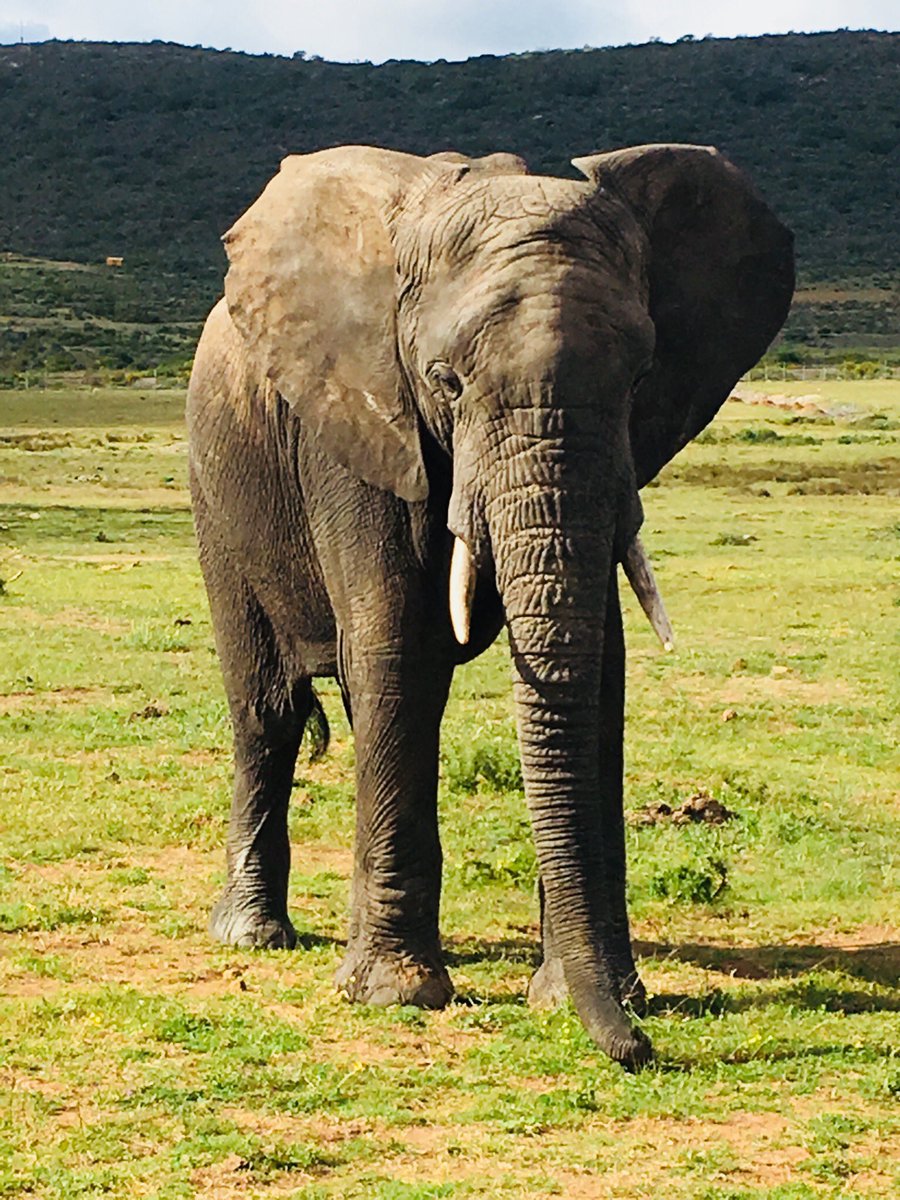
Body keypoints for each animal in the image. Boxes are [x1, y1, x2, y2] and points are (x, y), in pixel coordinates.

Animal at [187, 142, 793, 1069]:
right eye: (445, 380)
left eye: (641, 378)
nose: (638, 1049)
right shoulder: (361, 420)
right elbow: (395, 648)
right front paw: (397, 997)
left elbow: (599, 669)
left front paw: (588, 994)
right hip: (217, 485)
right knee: (269, 710)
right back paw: (254, 935)